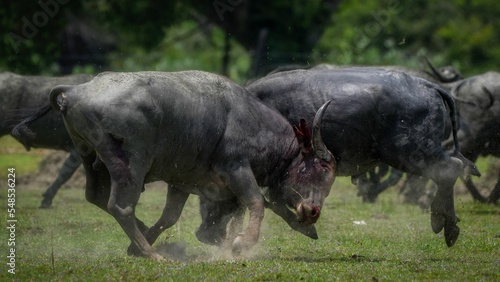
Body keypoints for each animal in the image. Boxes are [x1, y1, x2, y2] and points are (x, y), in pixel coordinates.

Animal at [14, 71, 336, 260]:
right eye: (320, 170)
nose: (312, 212)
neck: (253, 123)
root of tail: (77, 91)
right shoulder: (237, 169)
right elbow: (256, 202)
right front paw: (242, 243)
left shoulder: (182, 182)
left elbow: (170, 217)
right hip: (129, 164)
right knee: (120, 206)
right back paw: (151, 253)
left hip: (88, 158)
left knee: (96, 197)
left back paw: (144, 242)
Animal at [246, 66, 480, 247]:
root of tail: (428, 86)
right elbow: (271, 200)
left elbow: (272, 201)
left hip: (410, 153)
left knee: (449, 168)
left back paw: (444, 222)